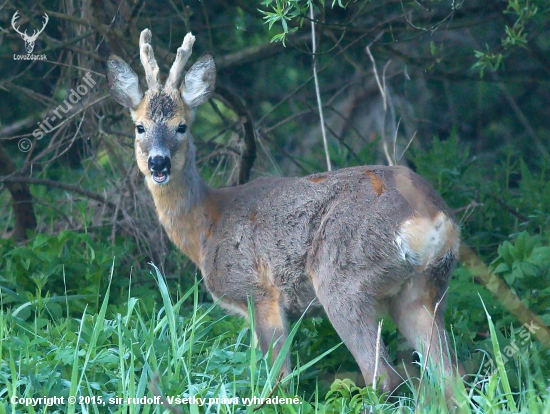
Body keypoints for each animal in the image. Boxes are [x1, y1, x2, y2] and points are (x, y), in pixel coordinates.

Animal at [105, 29, 464, 394]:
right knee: (450, 377)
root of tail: (430, 219)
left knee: (383, 375)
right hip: (423, 291)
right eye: (139, 127)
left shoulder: (259, 292)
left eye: (181, 126)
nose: (158, 163)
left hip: (343, 278)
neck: (207, 227)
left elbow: (278, 379)